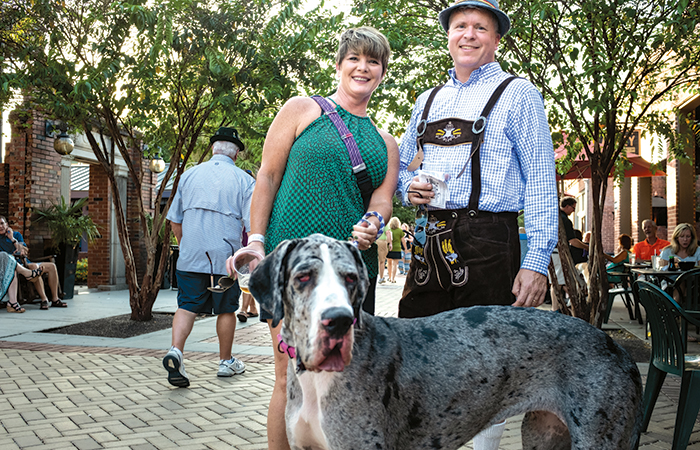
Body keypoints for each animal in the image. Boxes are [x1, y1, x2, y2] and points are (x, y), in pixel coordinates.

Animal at [249, 234, 644, 448]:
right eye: (303, 276)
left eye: (350, 278)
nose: (339, 321)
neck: (317, 381)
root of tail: (617, 348)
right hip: (543, 435)